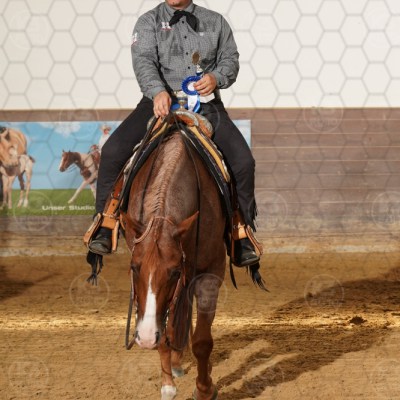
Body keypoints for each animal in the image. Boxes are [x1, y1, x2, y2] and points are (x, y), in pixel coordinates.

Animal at [122, 124, 226, 400]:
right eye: (134, 268)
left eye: (174, 272)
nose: (145, 338)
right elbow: (165, 327)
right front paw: (167, 384)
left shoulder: (210, 272)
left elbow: (202, 340)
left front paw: (204, 388)